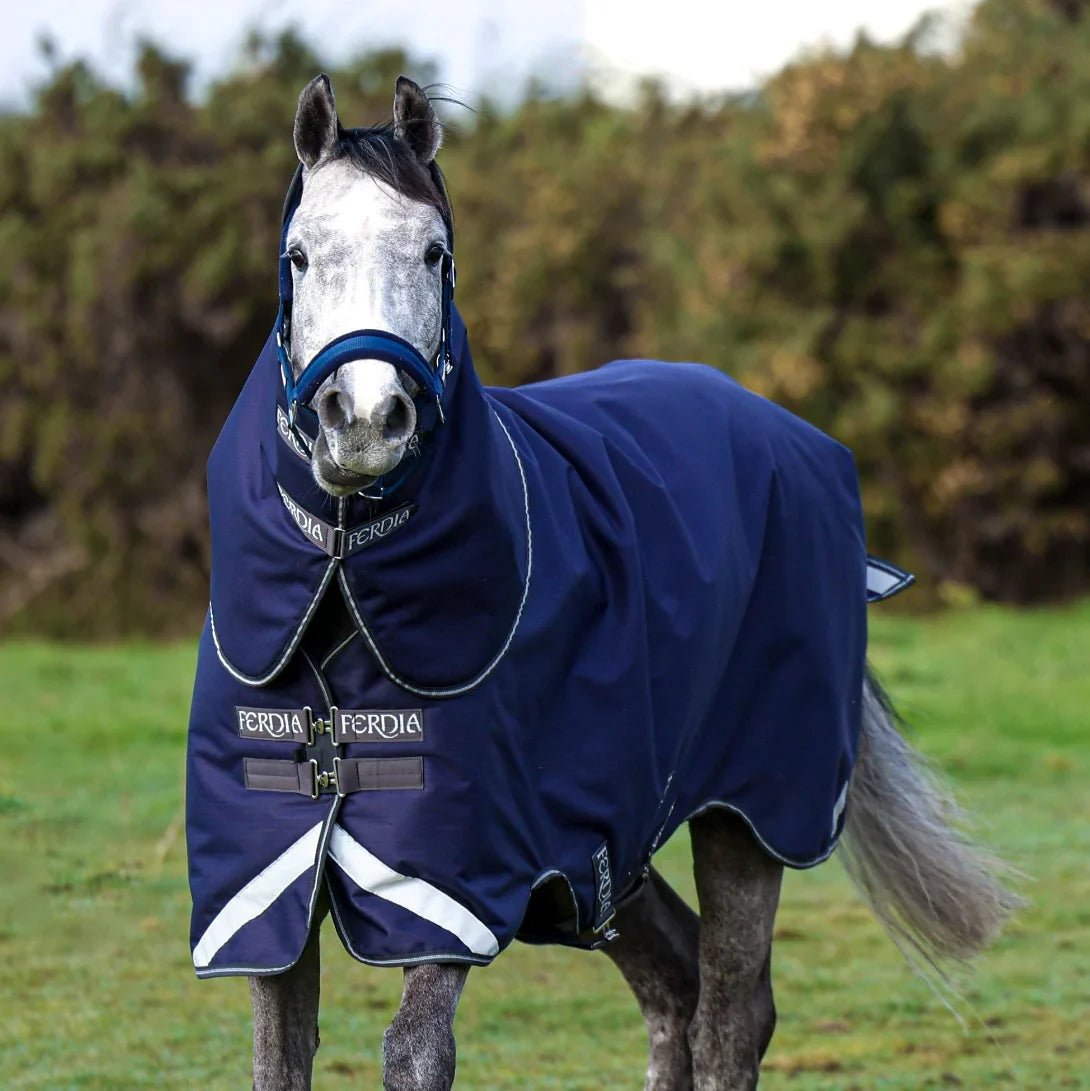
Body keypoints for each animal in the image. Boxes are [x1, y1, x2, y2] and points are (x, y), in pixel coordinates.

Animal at [186, 74, 1019, 1091]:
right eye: (300, 256)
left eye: (435, 252)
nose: (366, 421)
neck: (345, 597)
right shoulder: (262, 896)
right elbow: (279, 1055)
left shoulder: (453, 888)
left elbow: (415, 1052)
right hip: (597, 866)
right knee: (677, 988)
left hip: (748, 815)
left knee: (731, 1012)